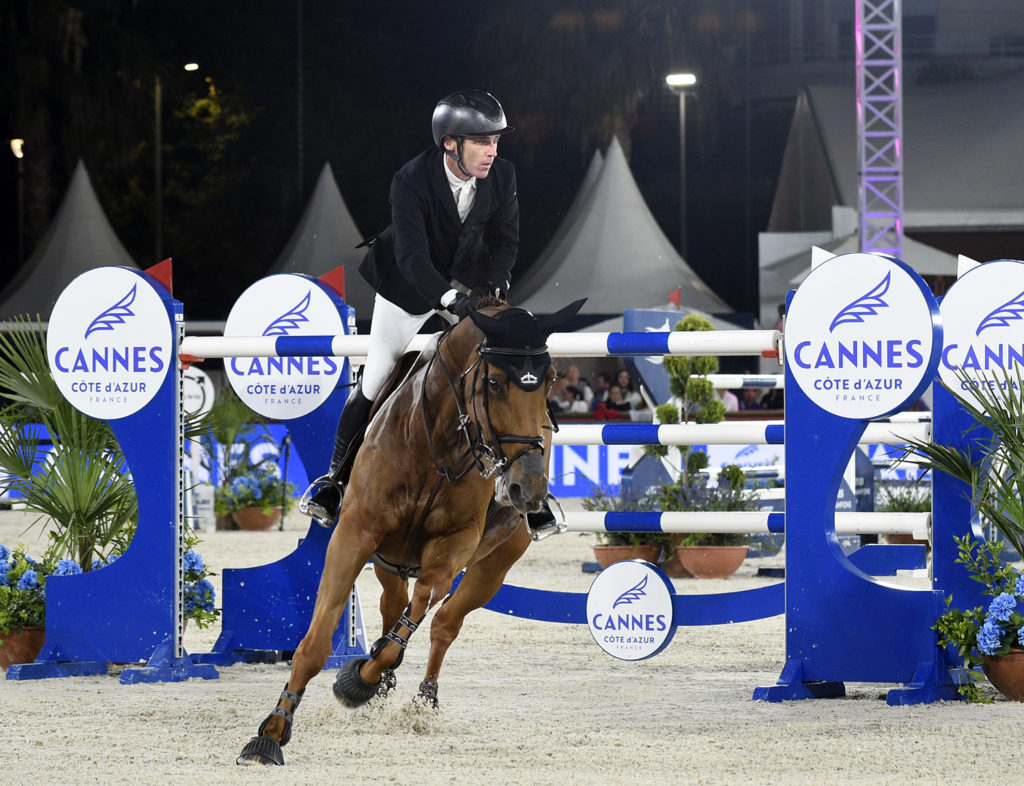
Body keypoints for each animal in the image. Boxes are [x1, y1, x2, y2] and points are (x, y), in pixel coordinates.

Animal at [234, 298, 581, 765]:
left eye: (550, 382)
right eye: (493, 383)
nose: (526, 489)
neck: (437, 441)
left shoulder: (455, 543)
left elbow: (422, 606)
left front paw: (358, 679)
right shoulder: (356, 534)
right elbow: (318, 641)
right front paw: (272, 731)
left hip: (494, 564)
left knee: (445, 622)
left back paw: (421, 699)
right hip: (388, 559)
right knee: (391, 604)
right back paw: (382, 685)